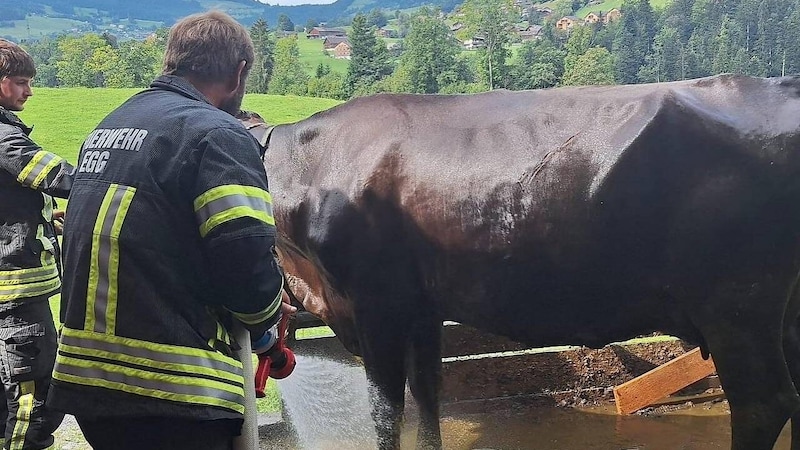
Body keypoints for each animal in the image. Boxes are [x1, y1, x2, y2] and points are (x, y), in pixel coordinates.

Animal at [256, 74, 800, 450]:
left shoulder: (376, 304)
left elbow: (387, 412)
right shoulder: (422, 308)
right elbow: (427, 396)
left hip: (737, 306)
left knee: (763, 404)